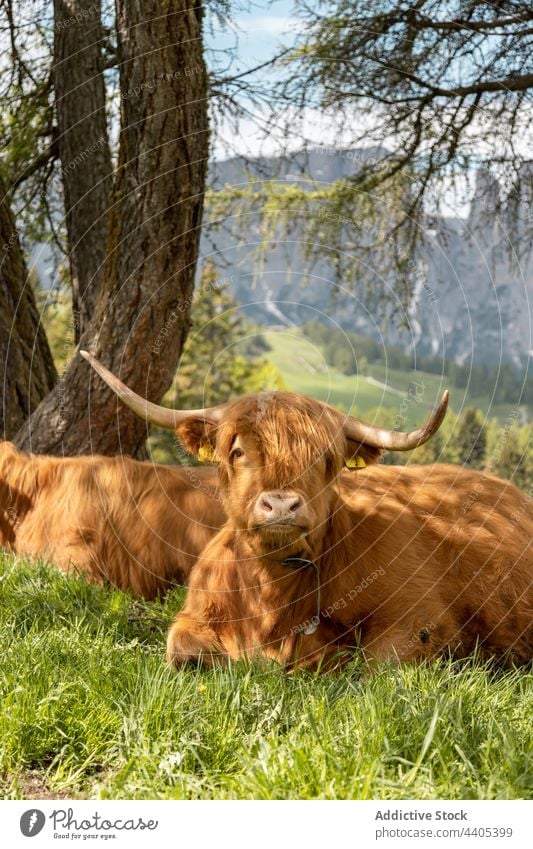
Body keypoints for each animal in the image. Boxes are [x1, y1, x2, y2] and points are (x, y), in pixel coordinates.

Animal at [82, 352, 532, 668]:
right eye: (238, 450)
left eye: (324, 458)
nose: (281, 503)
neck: (271, 595)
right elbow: (182, 649)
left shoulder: (419, 617)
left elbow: (372, 664)